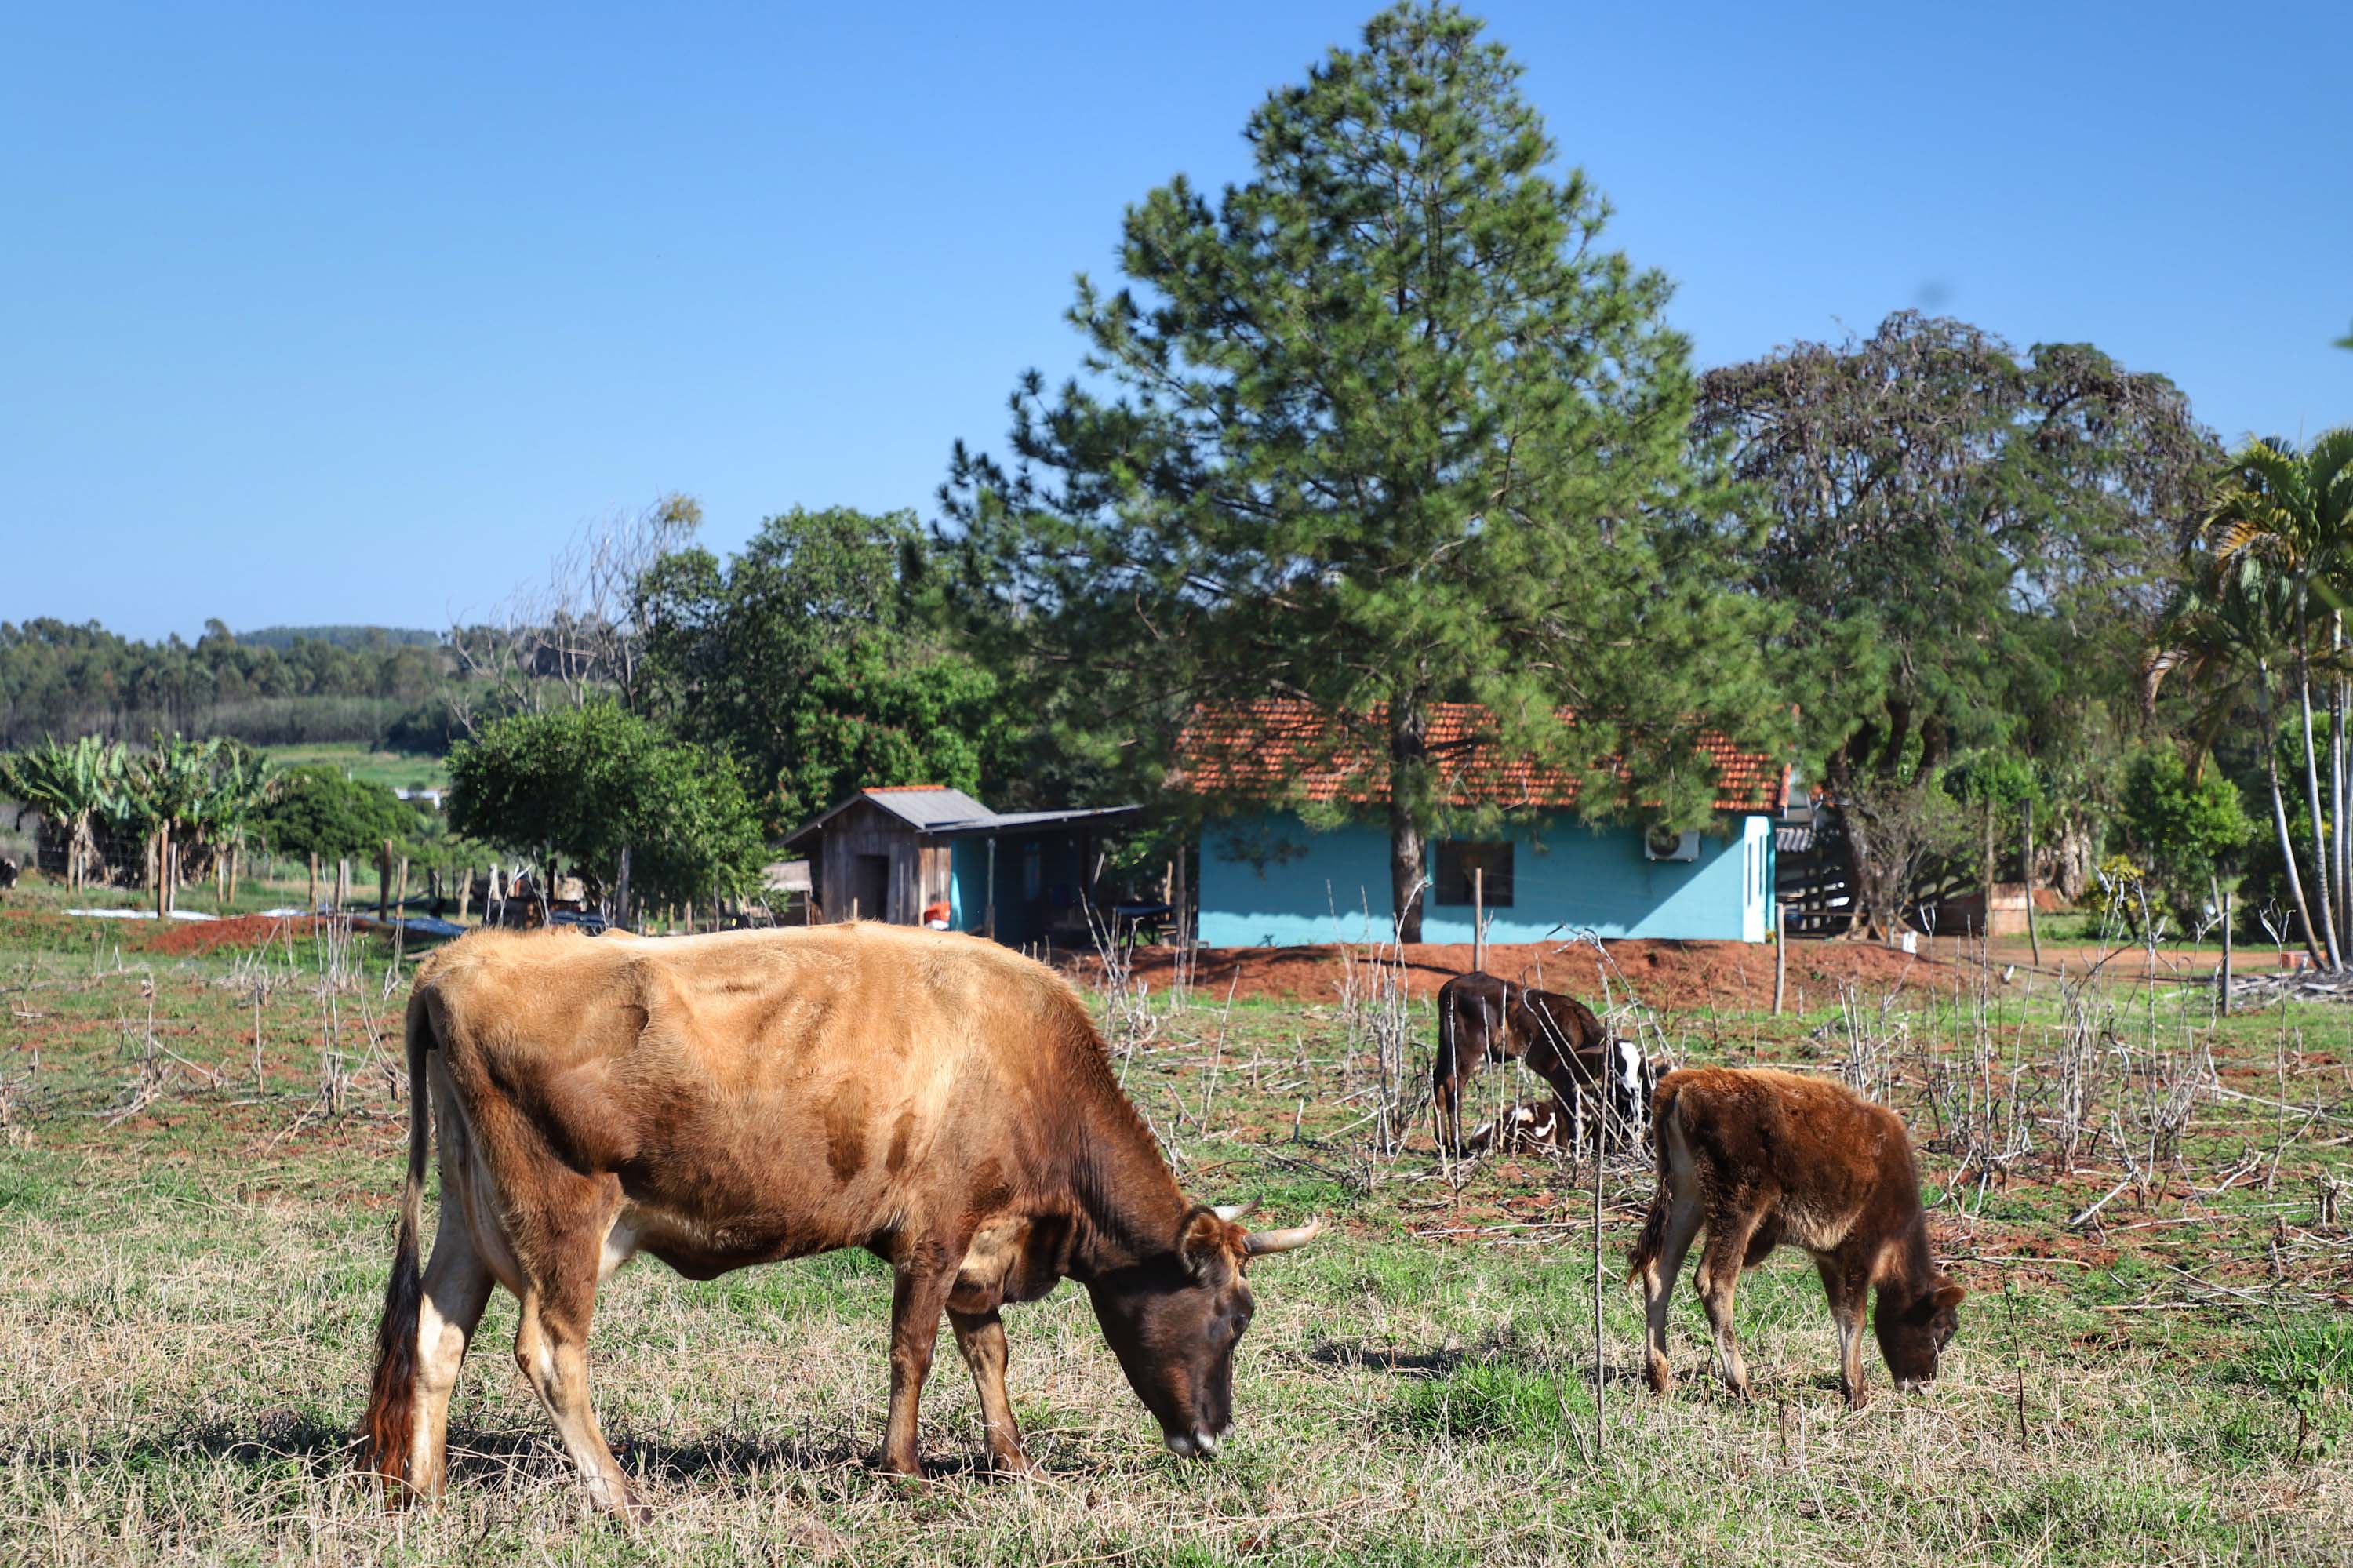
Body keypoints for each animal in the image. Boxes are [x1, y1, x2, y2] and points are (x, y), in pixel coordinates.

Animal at [1421, 965, 1647, 1148]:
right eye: (1616, 1063)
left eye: (1637, 1066)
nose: (1633, 1089)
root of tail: (1452, 984)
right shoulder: (1561, 1079)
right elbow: (1567, 1116)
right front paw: (1569, 1150)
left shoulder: (1565, 1083)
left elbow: (1565, 1114)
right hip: (1468, 1049)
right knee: (1453, 1084)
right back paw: (1457, 1144)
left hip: (1448, 1047)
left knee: (1438, 1080)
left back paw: (1443, 1143)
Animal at [1628, 1064, 1958, 1402]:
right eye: (1943, 1328)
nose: (1924, 1383)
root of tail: (1682, 1085)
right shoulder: (1862, 1249)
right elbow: (1856, 1316)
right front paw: (1857, 1391)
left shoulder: (1829, 1258)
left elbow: (1840, 1313)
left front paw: (1848, 1384)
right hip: (1738, 1207)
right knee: (1714, 1280)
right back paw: (1743, 1385)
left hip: (1686, 1196)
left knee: (1660, 1271)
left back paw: (1660, 1378)